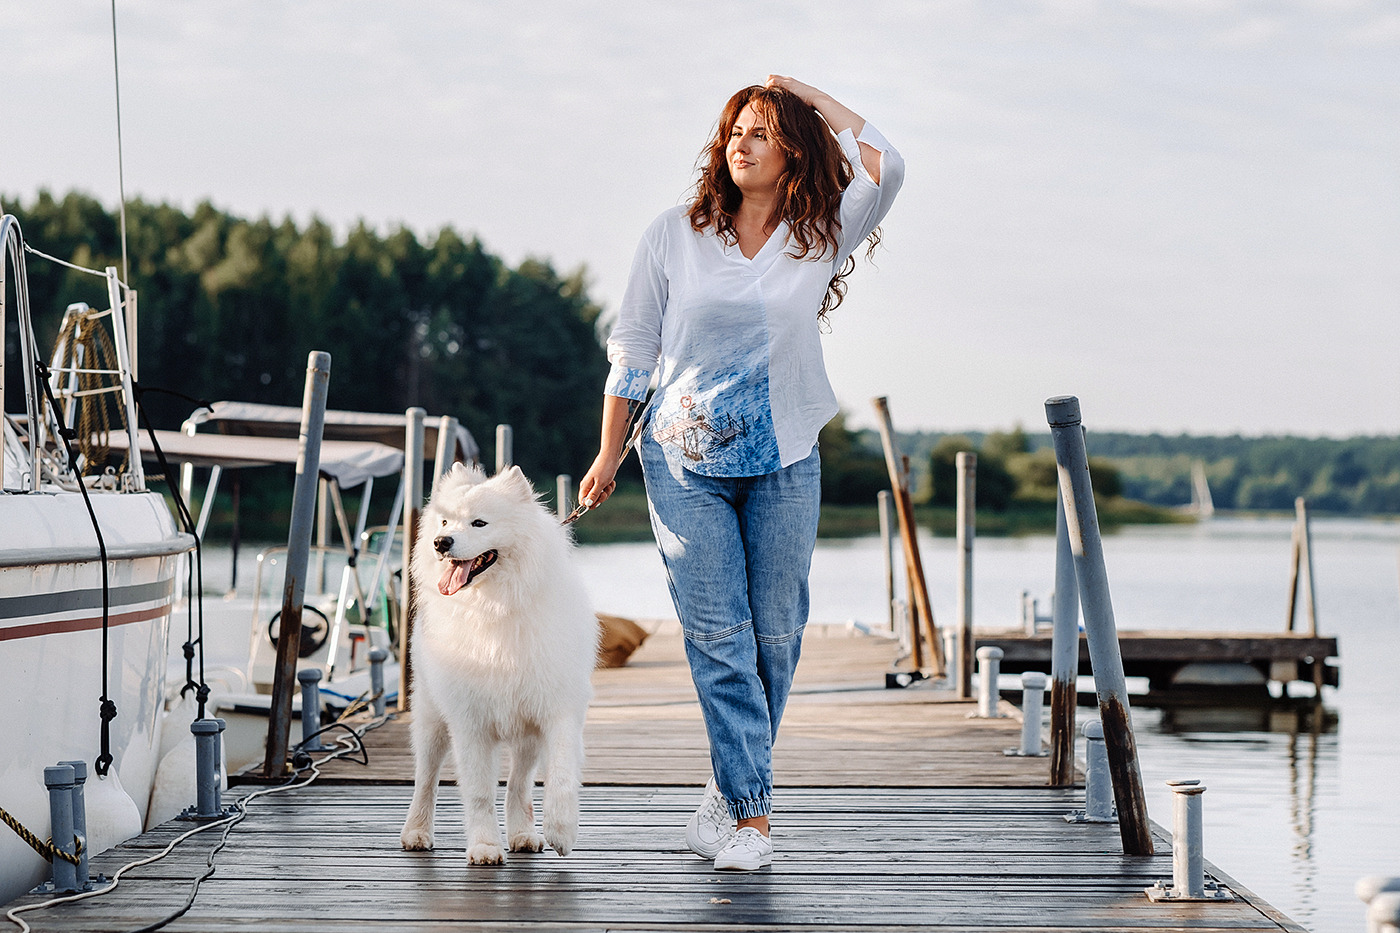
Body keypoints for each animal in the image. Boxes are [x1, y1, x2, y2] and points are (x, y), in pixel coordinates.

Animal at [400, 462, 596, 862]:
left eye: (479, 523)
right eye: (445, 522)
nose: (441, 543)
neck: (494, 606)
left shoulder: (558, 710)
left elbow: (561, 775)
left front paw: (561, 829)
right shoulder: (470, 722)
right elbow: (478, 792)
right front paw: (485, 846)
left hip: (526, 737)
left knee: (519, 785)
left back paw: (523, 834)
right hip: (431, 720)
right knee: (426, 778)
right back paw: (416, 832)